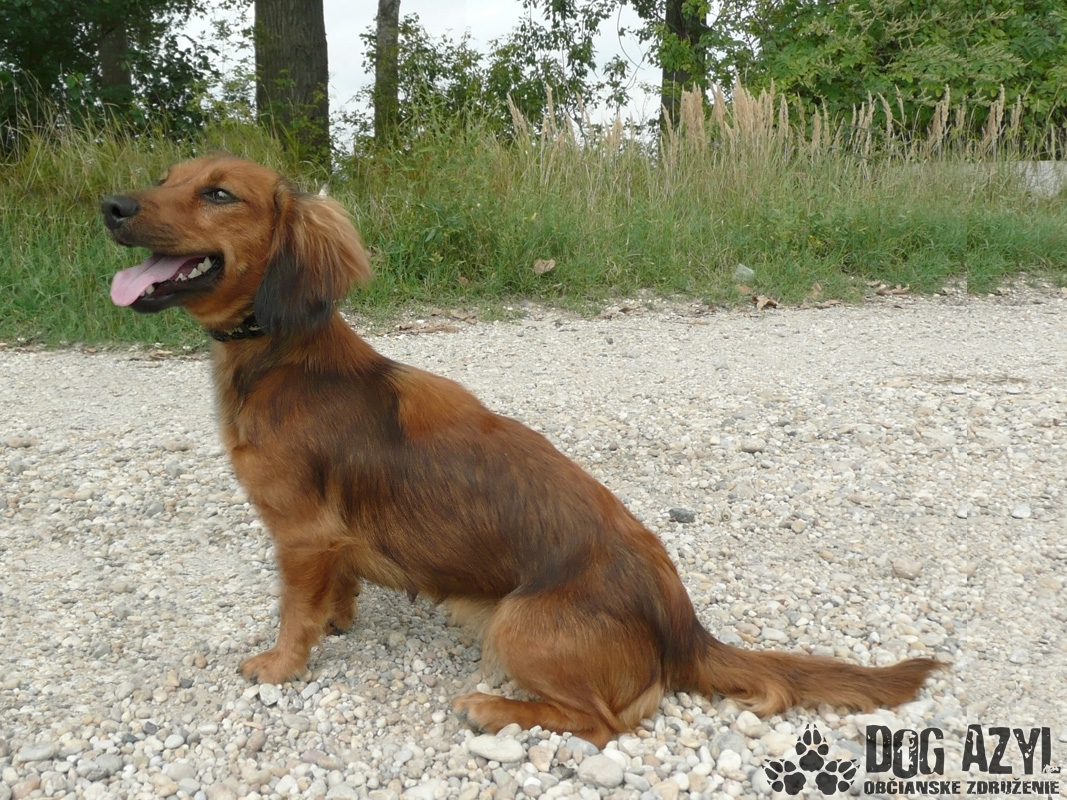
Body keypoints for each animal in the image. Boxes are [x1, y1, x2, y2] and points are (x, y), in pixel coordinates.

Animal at [102, 155, 940, 747]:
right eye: (165, 178)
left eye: (219, 194)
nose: (110, 206)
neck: (283, 355)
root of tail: (682, 625)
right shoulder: (327, 540)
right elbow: (333, 591)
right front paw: (337, 621)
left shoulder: (301, 533)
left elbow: (291, 611)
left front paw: (279, 664)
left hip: (516, 623)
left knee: (603, 723)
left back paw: (492, 709)